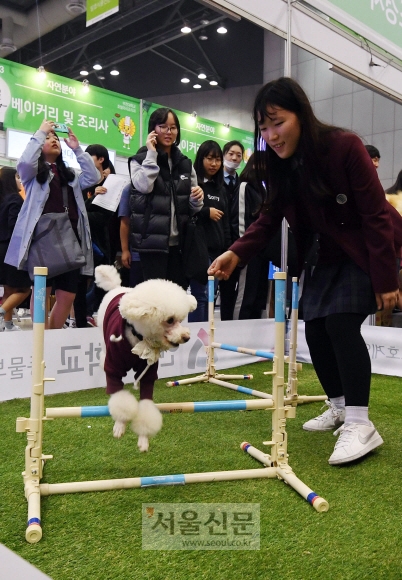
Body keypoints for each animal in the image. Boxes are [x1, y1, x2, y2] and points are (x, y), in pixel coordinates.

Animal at [96, 268, 196, 454]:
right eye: (170, 320)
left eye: (181, 319)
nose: (186, 337)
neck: (139, 338)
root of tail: (117, 287)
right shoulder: (114, 369)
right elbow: (120, 399)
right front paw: (120, 425)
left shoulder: (148, 373)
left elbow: (146, 407)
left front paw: (143, 438)